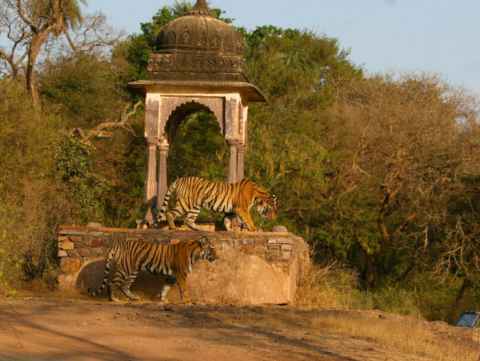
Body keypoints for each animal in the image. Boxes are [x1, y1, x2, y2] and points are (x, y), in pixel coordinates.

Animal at [89, 236, 217, 300]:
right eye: (211, 248)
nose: (217, 257)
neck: (196, 254)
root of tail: (118, 244)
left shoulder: (172, 276)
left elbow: (165, 288)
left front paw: (163, 300)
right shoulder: (181, 275)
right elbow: (184, 290)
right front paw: (188, 302)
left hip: (133, 271)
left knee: (124, 286)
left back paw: (134, 298)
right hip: (125, 269)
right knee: (112, 283)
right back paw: (113, 299)